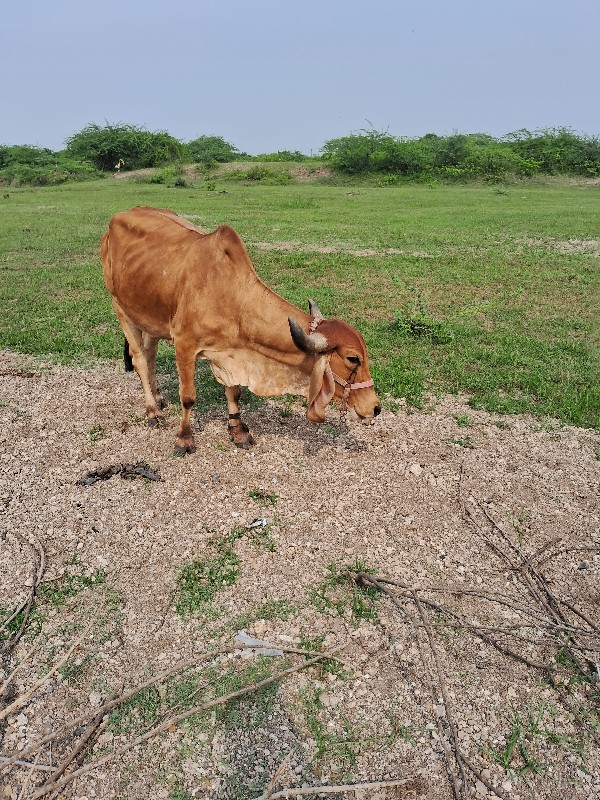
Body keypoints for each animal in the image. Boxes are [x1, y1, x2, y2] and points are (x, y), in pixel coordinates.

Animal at [99, 206, 380, 454]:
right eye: (353, 358)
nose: (375, 407)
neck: (231, 297)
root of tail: (118, 217)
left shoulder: (231, 352)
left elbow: (234, 390)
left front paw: (238, 431)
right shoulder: (184, 344)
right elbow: (188, 396)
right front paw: (184, 439)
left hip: (149, 317)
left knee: (150, 354)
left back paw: (158, 398)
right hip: (120, 307)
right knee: (139, 359)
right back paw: (152, 411)